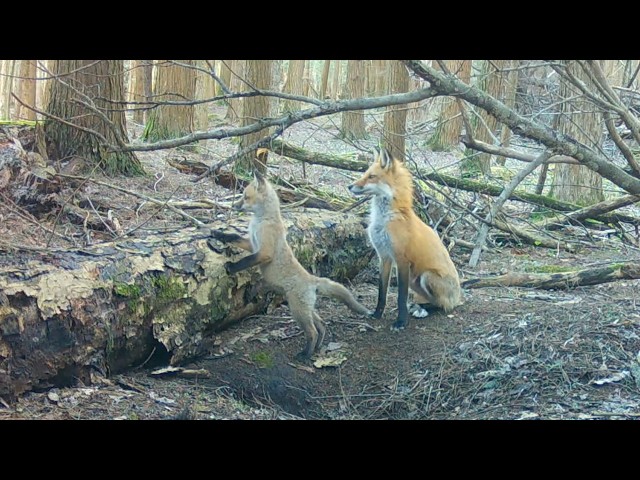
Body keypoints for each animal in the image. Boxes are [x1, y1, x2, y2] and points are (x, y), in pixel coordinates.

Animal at [212, 169, 372, 360]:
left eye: (245, 197)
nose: (234, 206)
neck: (262, 221)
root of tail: (312, 280)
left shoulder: (264, 252)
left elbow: (246, 261)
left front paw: (231, 267)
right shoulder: (252, 244)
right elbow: (234, 237)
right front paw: (217, 234)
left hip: (297, 310)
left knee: (312, 331)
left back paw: (305, 354)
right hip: (306, 309)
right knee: (322, 325)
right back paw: (316, 348)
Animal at [348, 147, 462, 331]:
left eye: (371, 176)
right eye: (365, 174)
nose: (349, 186)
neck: (386, 219)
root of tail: (458, 296)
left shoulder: (402, 260)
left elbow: (401, 296)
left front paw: (401, 322)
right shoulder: (384, 257)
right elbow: (382, 292)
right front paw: (377, 314)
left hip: (426, 276)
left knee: (443, 306)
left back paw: (422, 310)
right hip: (415, 281)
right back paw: (418, 307)